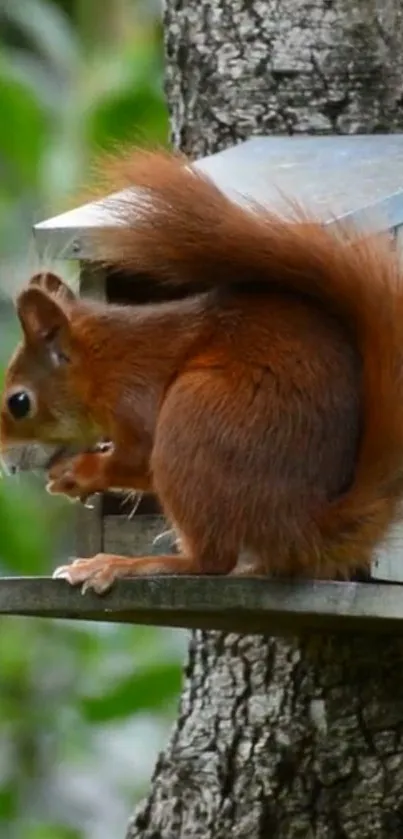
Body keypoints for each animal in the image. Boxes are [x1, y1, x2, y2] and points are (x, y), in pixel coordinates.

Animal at [0, 153, 403, 596]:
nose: (5, 463)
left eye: (19, 402)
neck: (104, 362)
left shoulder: (135, 395)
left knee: (211, 561)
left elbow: (139, 459)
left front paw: (80, 474)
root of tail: (303, 526)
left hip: (195, 418)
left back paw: (123, 564)